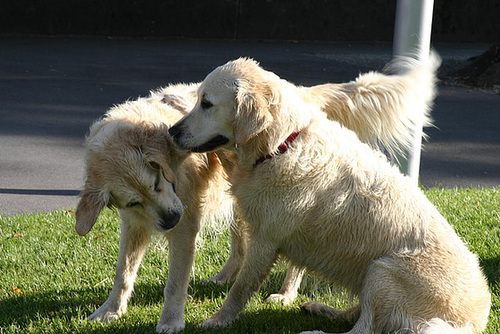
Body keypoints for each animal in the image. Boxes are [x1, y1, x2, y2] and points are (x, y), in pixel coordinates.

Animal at [169, 52, 492, 334]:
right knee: (359, 315)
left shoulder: (265, 240)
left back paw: (315, 330)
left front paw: (217, 321)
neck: (283, 144)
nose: (172, 132)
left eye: (207, 103)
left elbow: (240, 288)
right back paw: (322, 309)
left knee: (364, 329)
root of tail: (471, 323)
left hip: (383, 271)